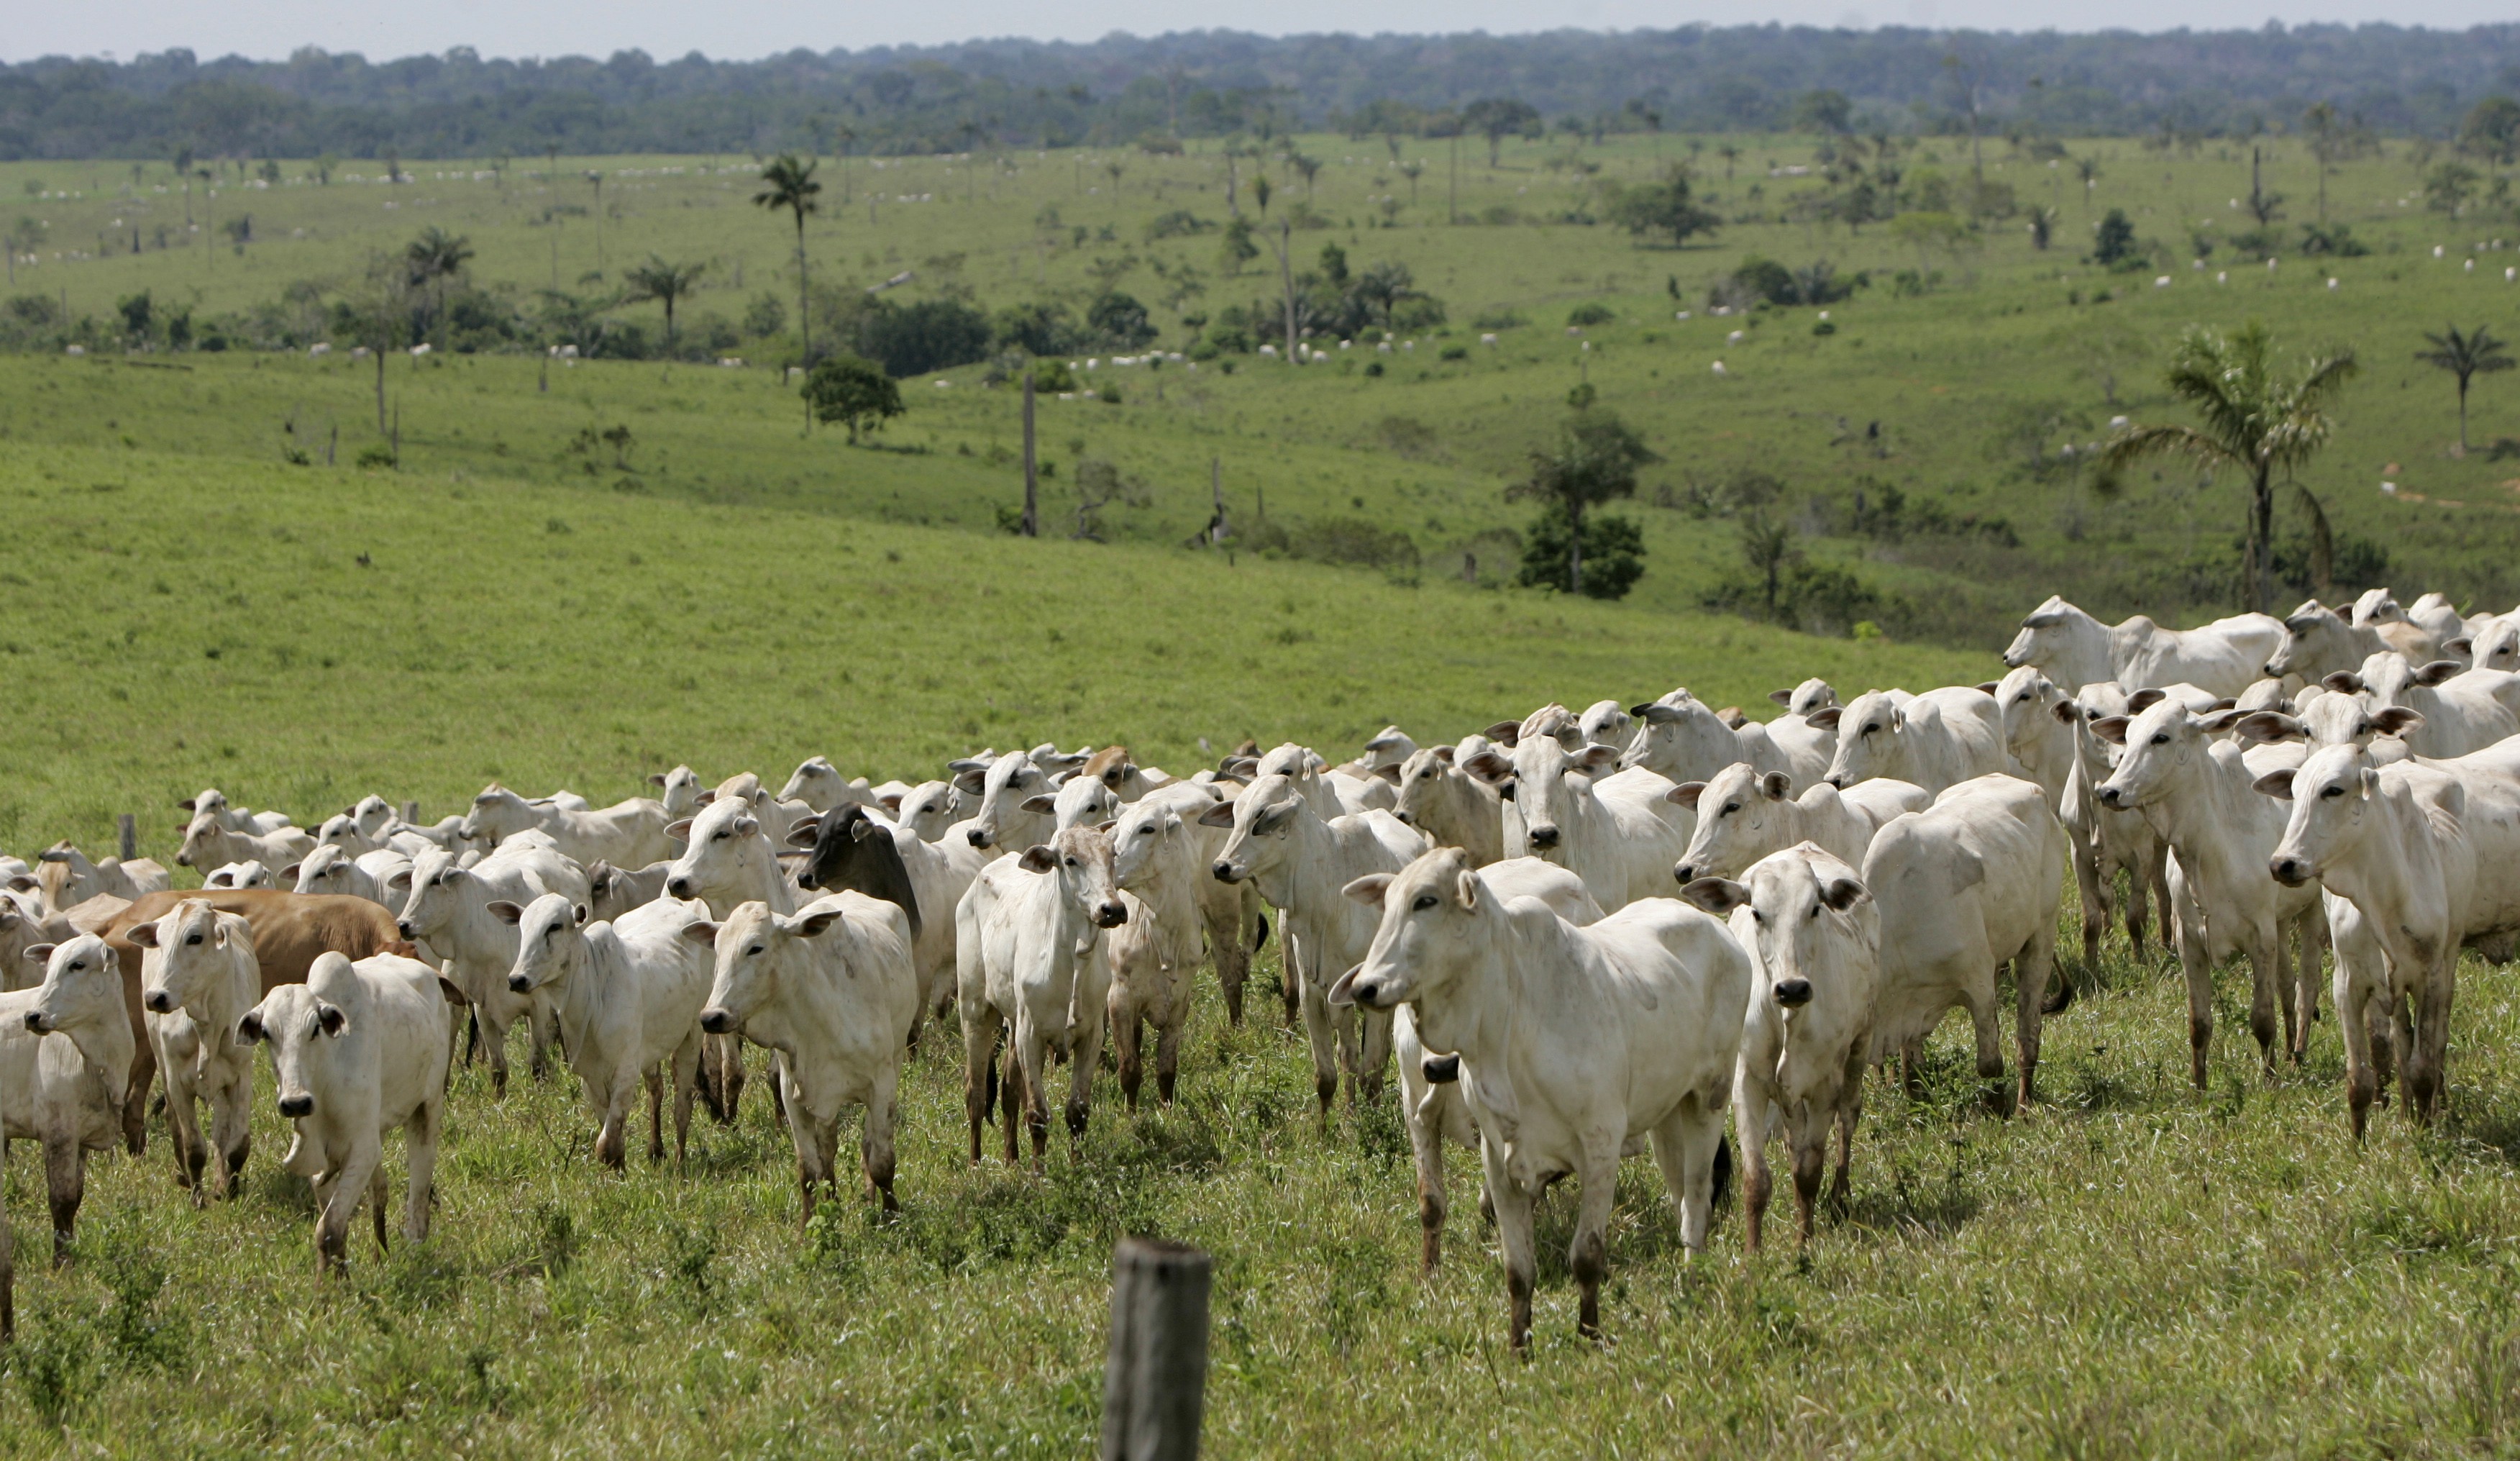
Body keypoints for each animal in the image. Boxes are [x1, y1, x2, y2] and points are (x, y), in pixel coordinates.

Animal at [237, 952, 463, 1274]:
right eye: (266, 1033)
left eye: (315, 1028)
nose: (296, 1103)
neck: (326, 1073)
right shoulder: (320, 1154)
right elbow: (335, 1227)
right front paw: (337, 1278)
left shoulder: (363, 1149)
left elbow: (329, 1228)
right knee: (380, 1191)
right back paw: (381, 1256)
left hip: (427, 1108)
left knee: (419, 1192)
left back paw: (415, 1245)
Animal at [1693, 846, 1874, 1254]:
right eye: (1758, 913)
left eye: (1815, 909)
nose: (1792, 988)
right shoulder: (1746, 1085)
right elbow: (1756, 1179)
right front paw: (1752, 1255)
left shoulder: (1825, 1086)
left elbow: (1809, 1170)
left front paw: (1803, 1244)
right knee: (1795, 1141)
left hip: (1860, 1047)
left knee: (1848, 1120)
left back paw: (1840, 1198)